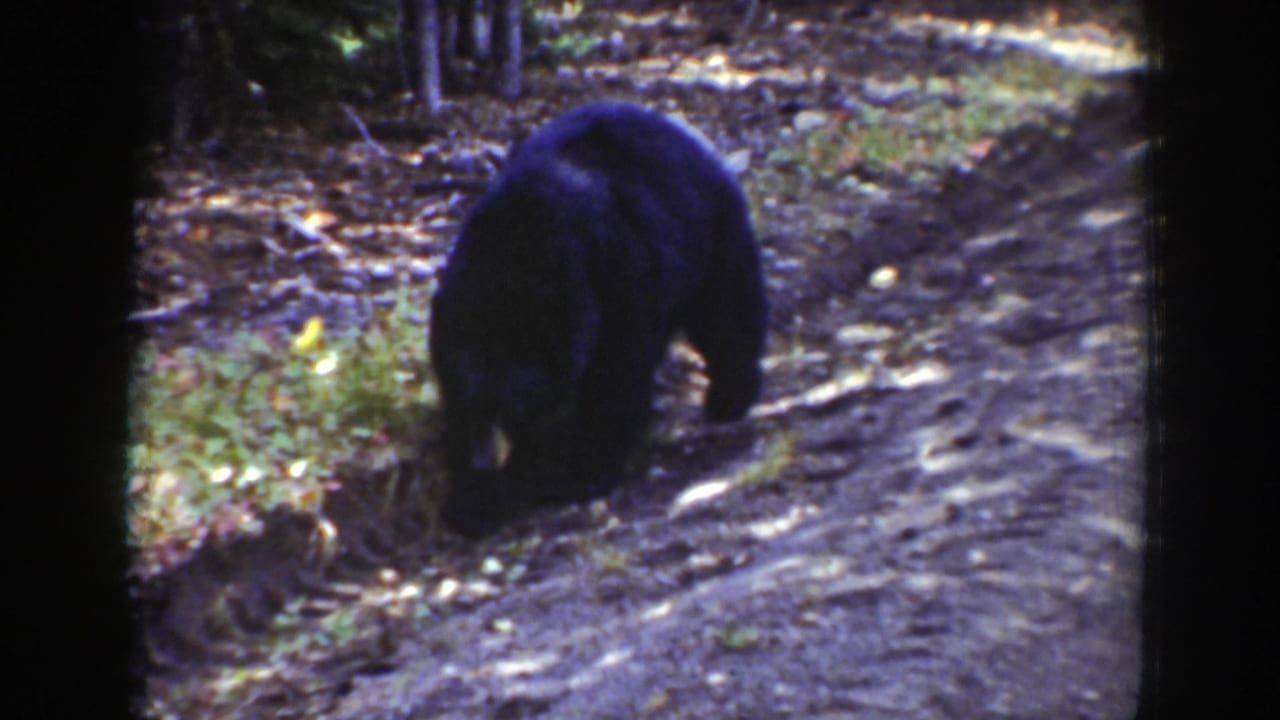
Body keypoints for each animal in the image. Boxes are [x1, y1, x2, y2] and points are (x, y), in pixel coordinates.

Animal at [429, 102, 767, 536]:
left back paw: (731, 396)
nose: (485, 457)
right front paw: (473, 499)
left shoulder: (621, 278)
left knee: (727, 308)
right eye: (475, 400)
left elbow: (617, 376)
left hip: (709, 229)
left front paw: (577, 473)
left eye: (512, 405)